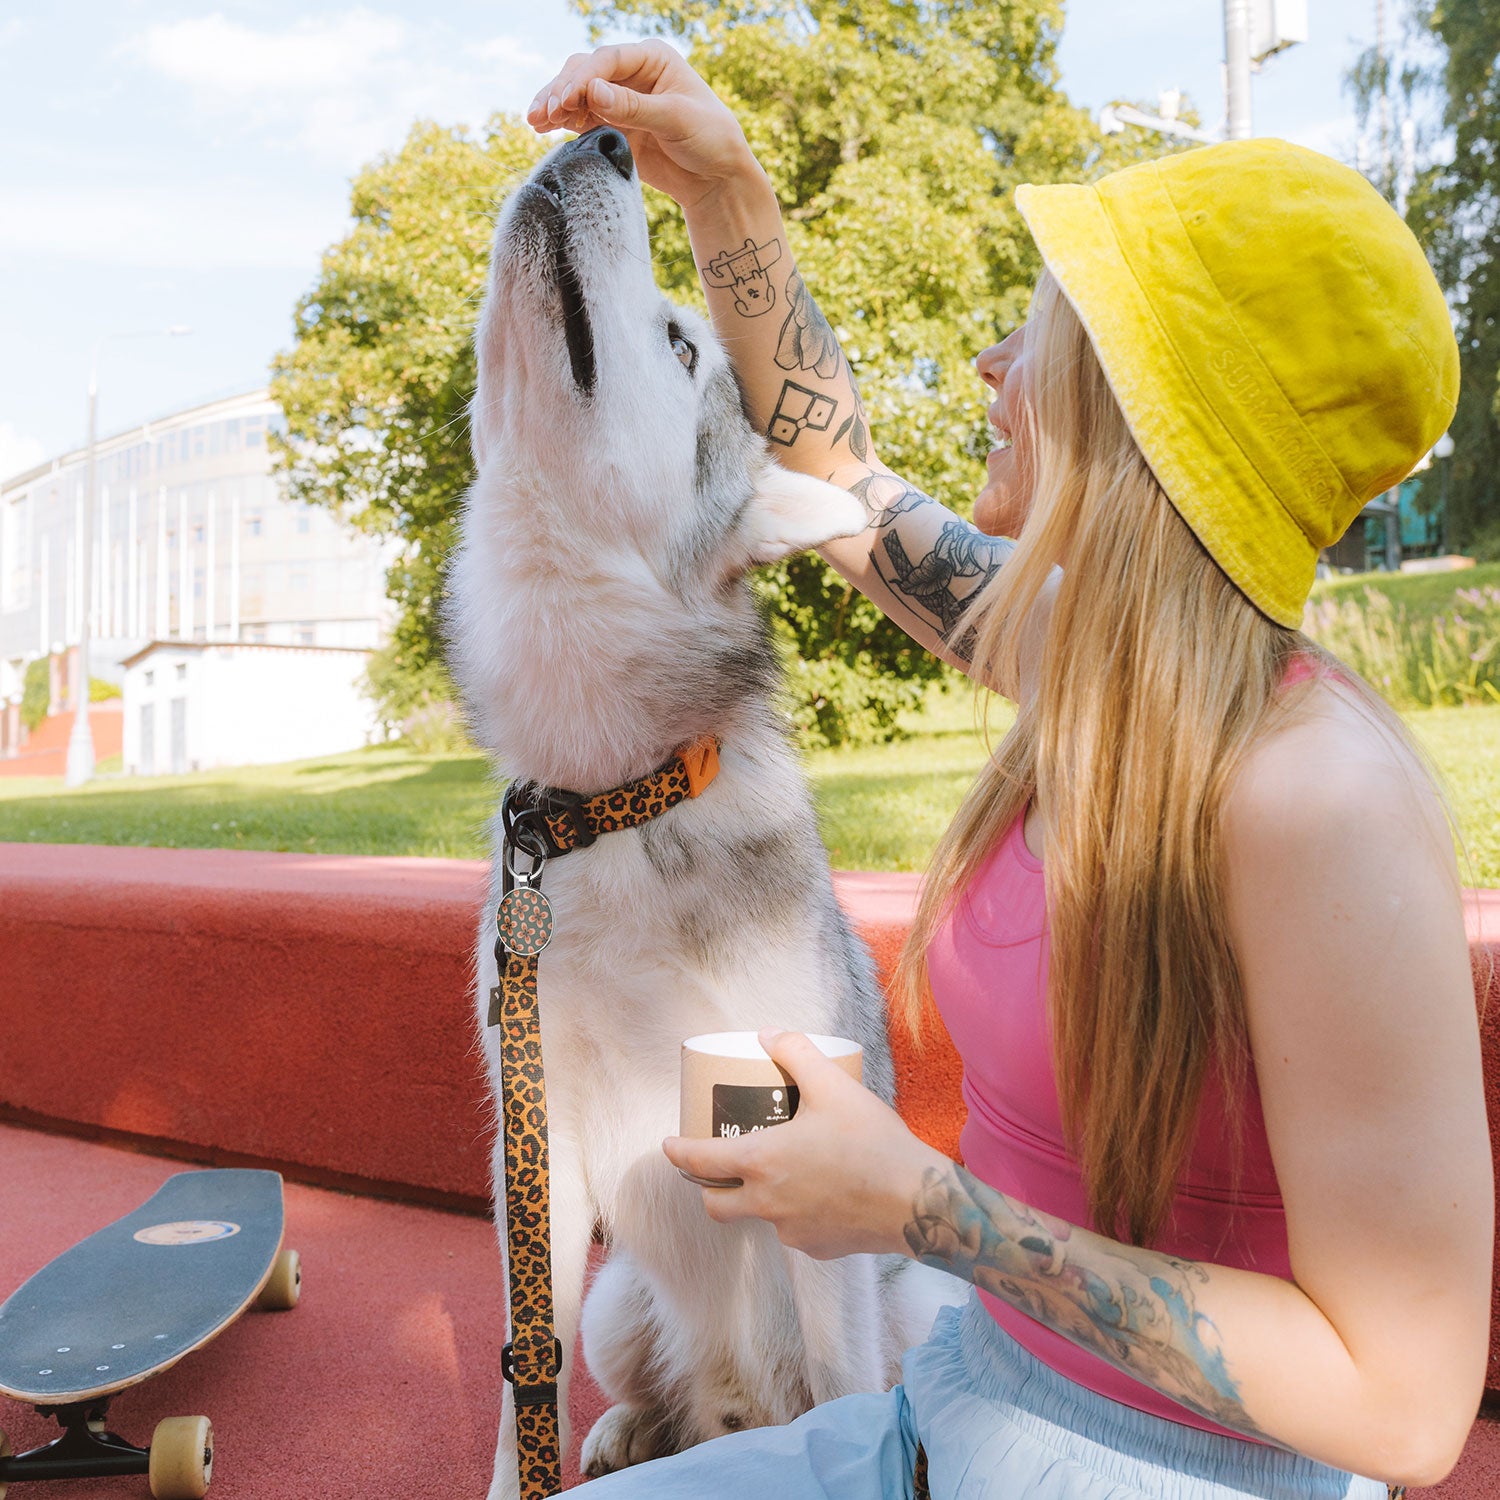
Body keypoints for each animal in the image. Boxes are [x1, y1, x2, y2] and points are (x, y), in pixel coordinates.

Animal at [446, 126, 957, 1499]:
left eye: (683, 345)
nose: (606, 136)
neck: (610, 801)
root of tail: (739, 1402)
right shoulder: (540, 1154)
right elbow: (520, 1374)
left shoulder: (811, 1148)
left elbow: (849, 1381)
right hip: (627, 1299)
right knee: (645, 1387)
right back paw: (637, 1430)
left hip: (913, 1296)